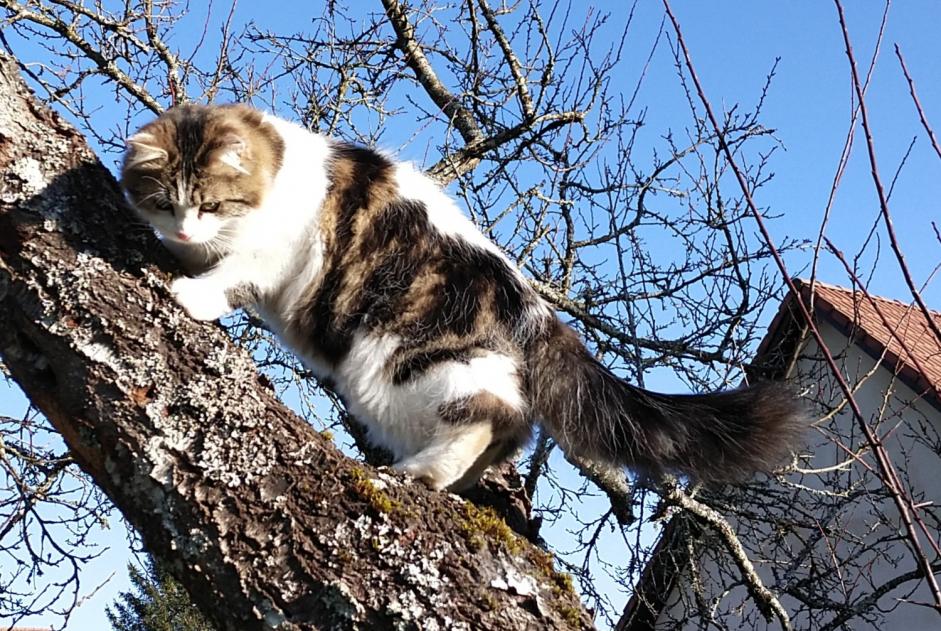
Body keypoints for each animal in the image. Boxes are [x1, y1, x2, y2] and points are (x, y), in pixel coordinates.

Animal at [121, 103, 804, 492]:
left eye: (210, 203)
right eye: (166, 203)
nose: (185, 230)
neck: (279, 174)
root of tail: (536, 311)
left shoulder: (270, 256)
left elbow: (228, 278)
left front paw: (190, 293)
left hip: (405, 365)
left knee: (493, 419)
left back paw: (420, 474)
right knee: (509, 433)